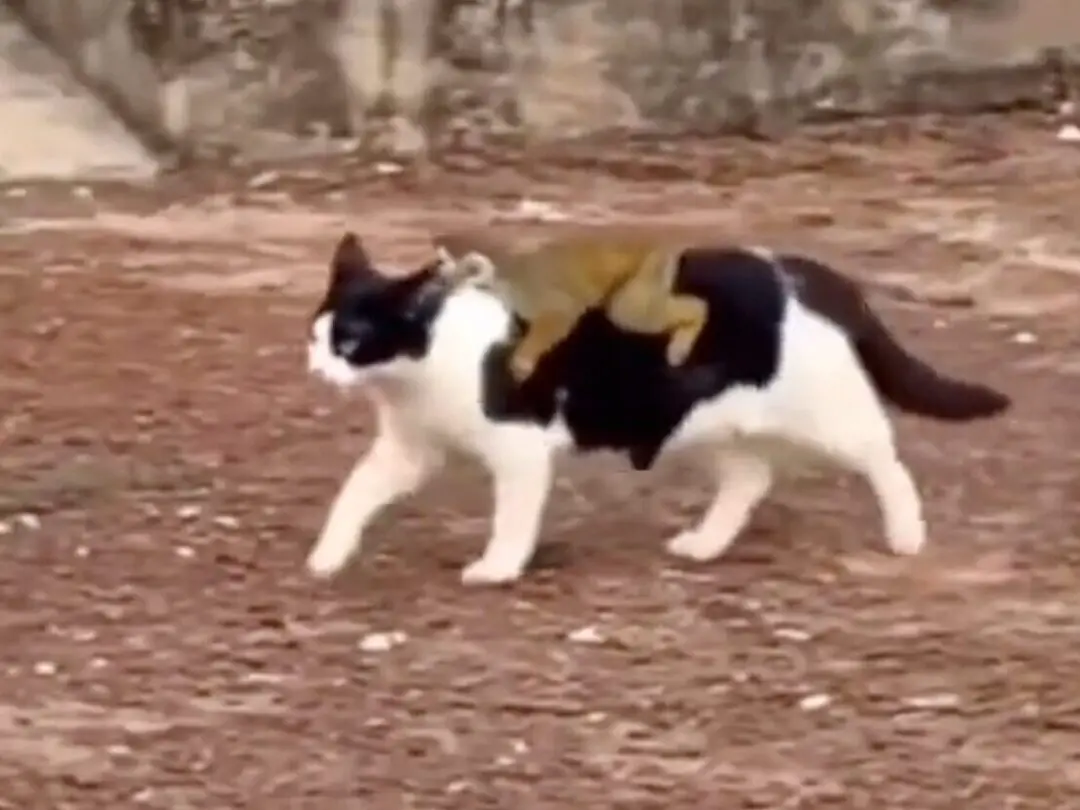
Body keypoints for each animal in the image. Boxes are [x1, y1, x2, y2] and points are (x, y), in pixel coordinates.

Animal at [306, 231, 1010, 587]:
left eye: (350, 342)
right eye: (316, 337)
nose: (316, 368)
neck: (420, 369)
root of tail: (800, 271)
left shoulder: (519, 451)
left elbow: (512, 518)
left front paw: (498, 567)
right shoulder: (407, 450)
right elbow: (352, 493)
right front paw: (329, 554)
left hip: (827, 414)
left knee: (884, 456)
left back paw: (906, 535)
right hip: (705, 423)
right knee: (751, 476)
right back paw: (705, 544)